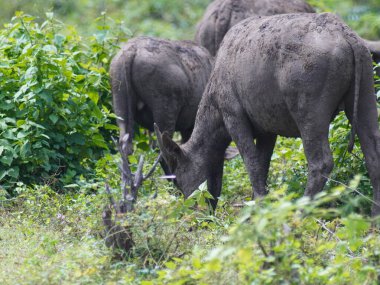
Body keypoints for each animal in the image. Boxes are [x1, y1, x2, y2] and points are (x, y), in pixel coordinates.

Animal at [156, 12, 380, 214]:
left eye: (177, 178)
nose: (194, 209)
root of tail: (347, 36)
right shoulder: (267, 131)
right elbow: (262, 166)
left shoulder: (234, 119)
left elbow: (252, 164)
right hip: (364, 99)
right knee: (373, 155)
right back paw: (374, 214)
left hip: (309, 115)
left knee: (321, 163)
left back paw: (301, 211)